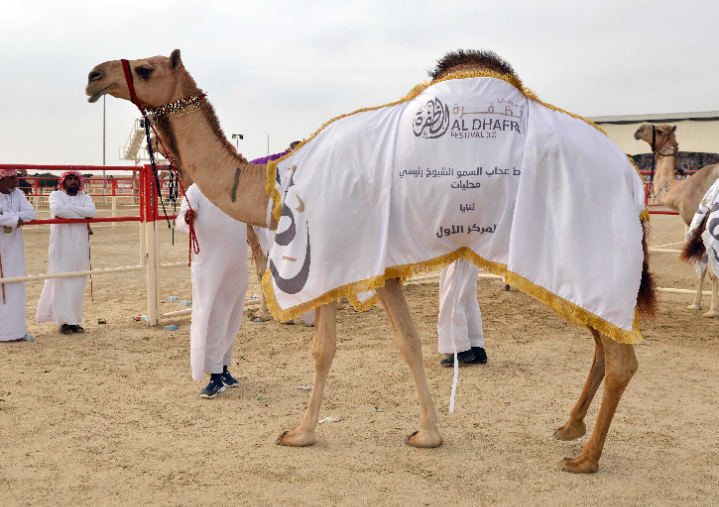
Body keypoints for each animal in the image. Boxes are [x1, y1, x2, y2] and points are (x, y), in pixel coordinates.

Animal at [87, 49, 656, 474]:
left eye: (146, 68)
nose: (94, 75)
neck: (277, 182)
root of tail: (632, 178)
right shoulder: (379, 267)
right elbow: (405, 343)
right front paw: (428, 434)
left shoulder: (335, 258)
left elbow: (324, 350)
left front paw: (300, 433)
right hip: (574, 269)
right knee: (602, 342)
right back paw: (569, 427)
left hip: (580, 251)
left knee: (622, 357)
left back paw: (585, 458)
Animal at [636, 124, 719, 316]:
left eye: (659, 130)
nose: (638, 130)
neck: (681, 190)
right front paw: (697, 304)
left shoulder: (701, 228)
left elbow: (708, 270)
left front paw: (710, 309)